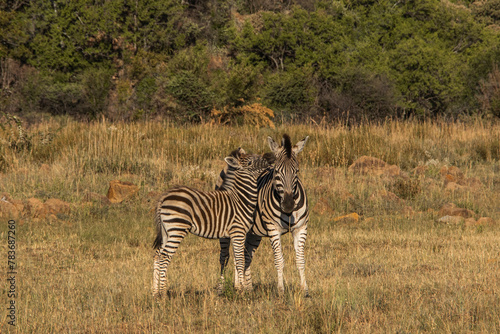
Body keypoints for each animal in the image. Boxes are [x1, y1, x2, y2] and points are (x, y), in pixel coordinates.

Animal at [152, 149, 272, 298]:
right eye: (250, 162)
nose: (270, 158)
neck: (240, 198)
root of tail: (164, 196)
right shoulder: (238, 231)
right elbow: (240, 260)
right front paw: (242, 291)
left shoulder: (234, 234)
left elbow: (235, 259)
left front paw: (238, 288)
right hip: (177, 228)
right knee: (164, 257)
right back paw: (163, 294)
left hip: (166, 231)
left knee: (157, 255)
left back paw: (155, 293)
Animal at [218, 134, 308, 296]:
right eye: (277, 172)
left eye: (297, 171)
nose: (288, 205)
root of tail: (240, 154)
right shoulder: (273, 229)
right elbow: (279, 260)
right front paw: (281, 290)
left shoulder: (301, 228)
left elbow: (300, 260)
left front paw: (304, 290)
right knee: (225, 256)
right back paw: (222, 289)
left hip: (251, 232)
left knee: (243, 255)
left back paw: (244, 287)